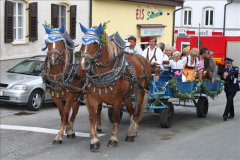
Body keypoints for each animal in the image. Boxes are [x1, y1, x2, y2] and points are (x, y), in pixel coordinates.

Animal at [79, 23, 150, 151]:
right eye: (82, 42)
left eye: (95, 43)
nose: (83, 63)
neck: (104, 74)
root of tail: (142, 58)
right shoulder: (93, 98)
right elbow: (92, 116)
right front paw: (94, 141)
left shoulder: (117, 99)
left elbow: (116, 117)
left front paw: (113, 139)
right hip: (126, 96)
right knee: (131, 111)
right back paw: (132, 130)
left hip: (140, 92)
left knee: (136, 111)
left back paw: (131, 133)